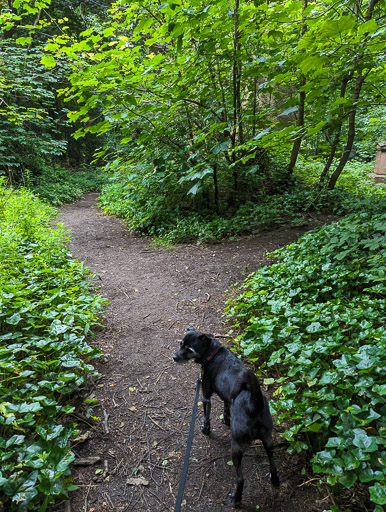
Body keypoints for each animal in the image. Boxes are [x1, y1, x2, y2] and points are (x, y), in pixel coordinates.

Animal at [173, 326, 278, 506]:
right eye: (181, 344)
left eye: (189, 349)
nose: (174, 357)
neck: (213, 353)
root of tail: (254, 405)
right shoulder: (227, 399)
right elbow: (226, 409)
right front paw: (226, 420)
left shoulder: (206, 396)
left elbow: (206, 416)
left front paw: (205, 430)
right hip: (268, 439)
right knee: (272, 461)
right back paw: (274, 479)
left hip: (236, 448)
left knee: (240, 479)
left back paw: (236, 500)